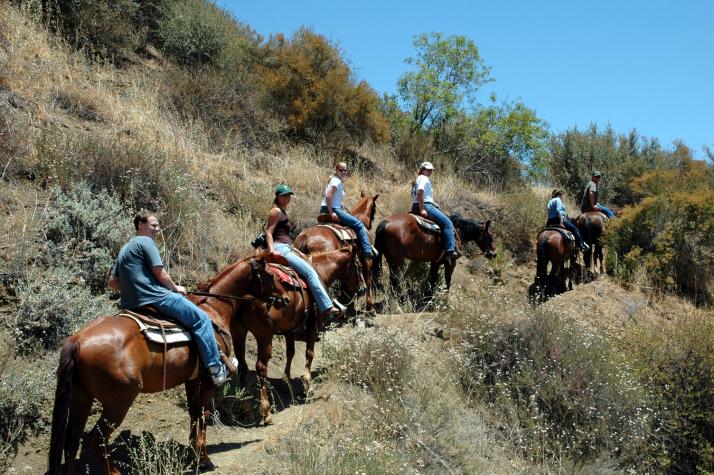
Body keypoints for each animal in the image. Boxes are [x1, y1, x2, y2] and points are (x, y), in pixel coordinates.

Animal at [47, 256, 278, 475]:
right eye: (270, 275)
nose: (282, 300)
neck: (213, 308)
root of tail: (77, 339)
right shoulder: (207, 380)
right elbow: (203, 415)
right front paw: (204, 460)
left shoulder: (191, 379)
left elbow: (194, 413)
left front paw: (195, 454)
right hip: (118, 402)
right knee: (97, 439)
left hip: (81, 398)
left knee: (71, 442)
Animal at [232, 247, 362, 426]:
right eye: (359, 266)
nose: (362, 289)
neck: (321, 271)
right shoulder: (313, 326)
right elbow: (310, 353)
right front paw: (308, 385)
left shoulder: (289, 329)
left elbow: (290, 353)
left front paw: (287, 382)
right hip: (264, 336)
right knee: (260, 367)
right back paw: (266, 413)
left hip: (238, 333)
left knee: (243, 366)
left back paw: (246, 409)